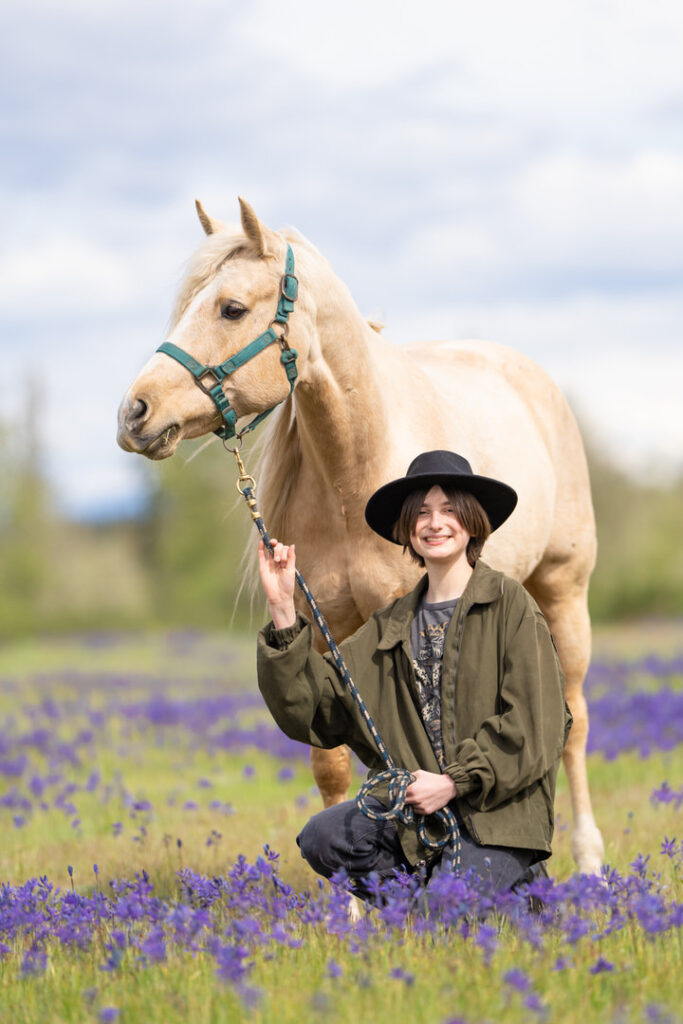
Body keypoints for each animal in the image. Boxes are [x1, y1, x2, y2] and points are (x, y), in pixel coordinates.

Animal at [117, 197, 602, 872]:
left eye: (231, 308)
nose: (133, 414)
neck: (355, 472)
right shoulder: (320, 628)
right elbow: (334, 767)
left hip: (564, 591)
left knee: (571, 724)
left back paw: (590, 863)